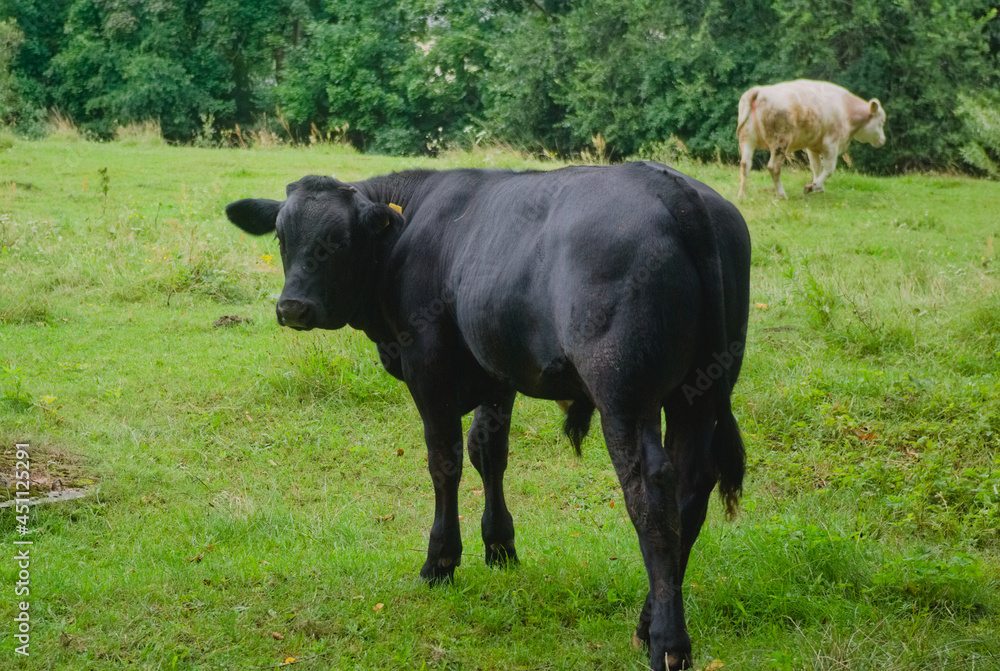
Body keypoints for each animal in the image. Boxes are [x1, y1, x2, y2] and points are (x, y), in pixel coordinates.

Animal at [225, 161, 751, 671]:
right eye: (281, 236)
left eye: (338, 239)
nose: (293, 307)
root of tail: (671, 186)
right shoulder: (497, 372)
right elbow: (488, 452)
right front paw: (500, 547)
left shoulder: (428, 365)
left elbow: (445, 461)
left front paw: (440, 561)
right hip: (699, 391)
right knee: (692, 484)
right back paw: (645, 622)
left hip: (624, 393)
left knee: (651, 493)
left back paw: (667, 642)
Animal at [737, 79, 886, 199]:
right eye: (881, 122)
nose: (883, 140)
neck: (845, 108)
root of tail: (760, 90)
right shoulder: (831, 144)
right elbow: (829, 169)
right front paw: (812, 187)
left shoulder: (812, 146)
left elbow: (816, 166)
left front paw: (818, 187)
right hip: (780, 142)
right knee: (774, 167)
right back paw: (781, 195)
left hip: (747, 139)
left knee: (745, 165)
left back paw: (742, 195)